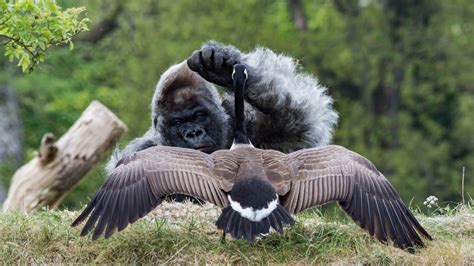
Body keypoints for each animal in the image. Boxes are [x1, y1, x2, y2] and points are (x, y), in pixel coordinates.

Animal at [106, 41, 338, 175]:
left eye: (199, 116)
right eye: (178, 122)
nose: (194, 133)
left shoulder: (248, 124)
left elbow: (301, 125)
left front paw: (224, 67)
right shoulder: (139, 153)